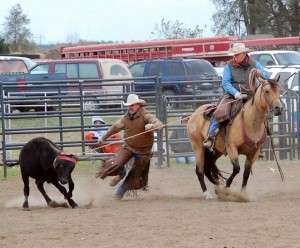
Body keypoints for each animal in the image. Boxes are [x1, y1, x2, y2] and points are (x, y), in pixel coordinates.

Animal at [186, 74, 282, 202]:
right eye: (267, 91)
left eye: (279, 90)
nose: (278, 108)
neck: (249, 121)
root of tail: (194, 114)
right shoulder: (232, 148)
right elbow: (237, 168)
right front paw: (227, 188)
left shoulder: (254, 152)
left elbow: (246, 172)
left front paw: (243, 194)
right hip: (198, 146)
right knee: (199, 170)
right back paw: (207, 194)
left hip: (216, 150)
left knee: (208, 166)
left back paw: (217, 186)